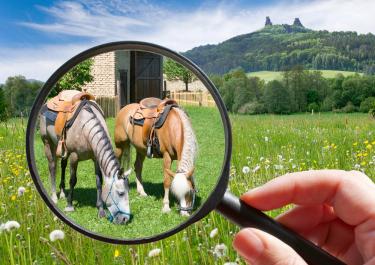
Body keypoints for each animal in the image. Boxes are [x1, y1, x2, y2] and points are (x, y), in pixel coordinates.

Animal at [40, 90, 132, 223]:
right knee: (52, 167)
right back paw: (54, 197)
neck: (85, 127)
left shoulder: (96, 158)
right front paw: (69, 205)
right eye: (120, 193)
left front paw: (100, 210)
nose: (125, 219)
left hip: (62, 148)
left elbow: (99, 181)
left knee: (62, 165)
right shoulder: (74, 157)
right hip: (48, 143)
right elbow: (73, 180)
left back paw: (62, 193)